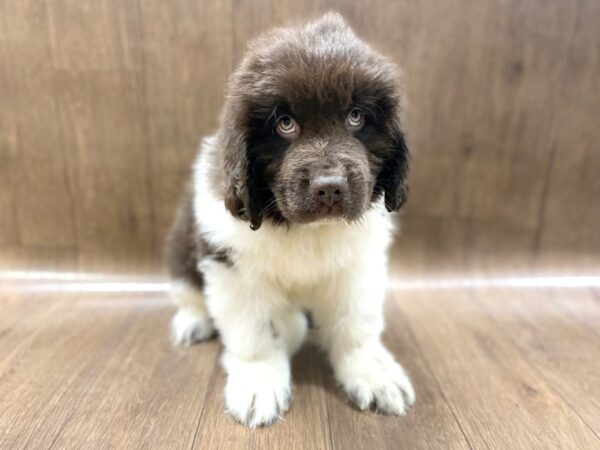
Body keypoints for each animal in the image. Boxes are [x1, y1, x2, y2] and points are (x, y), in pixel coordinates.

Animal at [166, 12, 414, 428]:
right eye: (284, 124)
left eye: (356, 117)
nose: (329, 188)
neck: (306, 231)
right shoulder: (232, 266)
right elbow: (255, 333)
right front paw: (259, 383)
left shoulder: (358, 265)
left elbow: (357, 325)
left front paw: (372, 372)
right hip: (181, 247)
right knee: (189, 290)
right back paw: (193, 321)